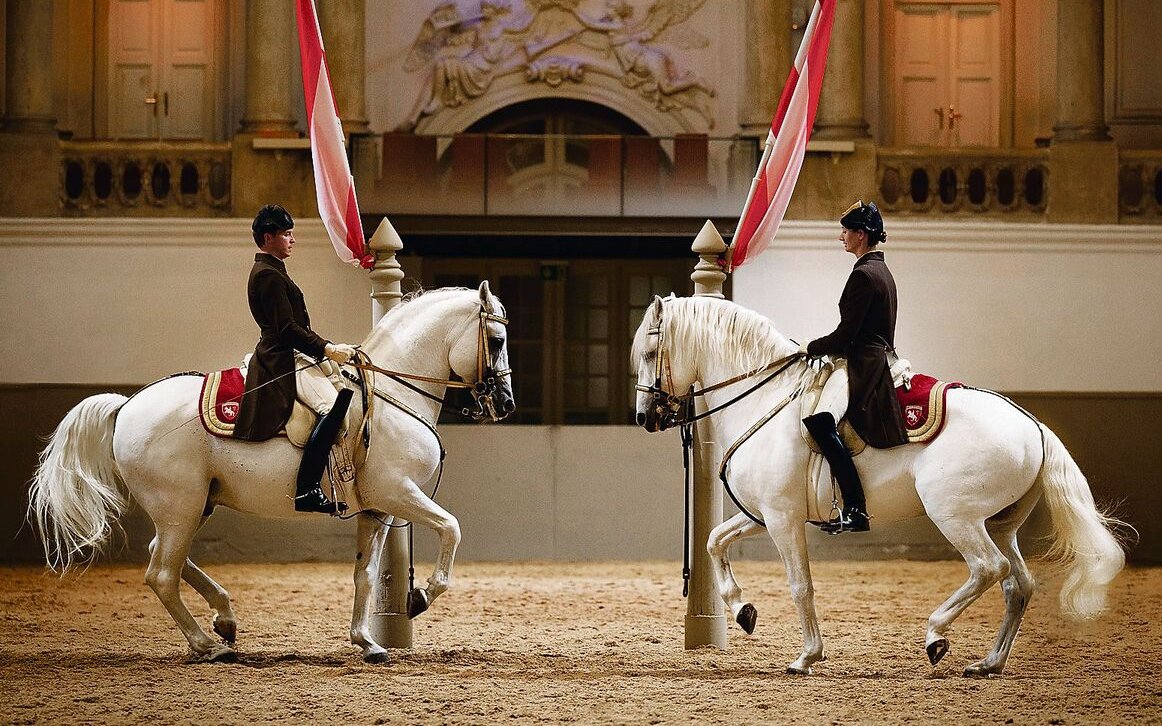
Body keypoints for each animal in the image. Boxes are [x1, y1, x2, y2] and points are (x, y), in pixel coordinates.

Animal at [29, 282, 511, 664]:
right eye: (497, 339)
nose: (505, 405)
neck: (392, 395)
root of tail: (127, 404)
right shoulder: (398, 492)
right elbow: (451, 527)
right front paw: (420, 596)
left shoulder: (378, 508)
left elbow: (366, 574)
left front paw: (367, 642)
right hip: (179, 507)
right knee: (161, 574)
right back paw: (208, 645)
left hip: (194, 505)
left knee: (165, 558)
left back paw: (224, 619)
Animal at [632, 292, 1129, 673]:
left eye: (650, 354)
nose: (645, 418)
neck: (766, 399)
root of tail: (1034, 425)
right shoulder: (764, 514)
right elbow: (714, 541)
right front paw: (743, 611)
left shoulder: (781, 518)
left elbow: (800, 584)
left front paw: (807, 657)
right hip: (1000, 524)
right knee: (1018, 585)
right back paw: (989, 663)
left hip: (956, 516)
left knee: (990, 569)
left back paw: (936, 635)